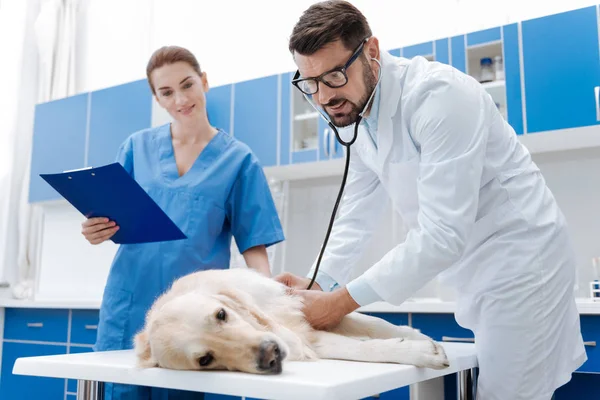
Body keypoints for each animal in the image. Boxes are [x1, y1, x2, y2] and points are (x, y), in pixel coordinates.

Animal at [132, 268, 450, 376]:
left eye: (221, 314)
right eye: (205, 360)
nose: (269, 355)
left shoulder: (298, 306)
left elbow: (377, 325)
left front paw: (418, 335)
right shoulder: (307, 338)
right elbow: (361, 348)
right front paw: (420, 351)